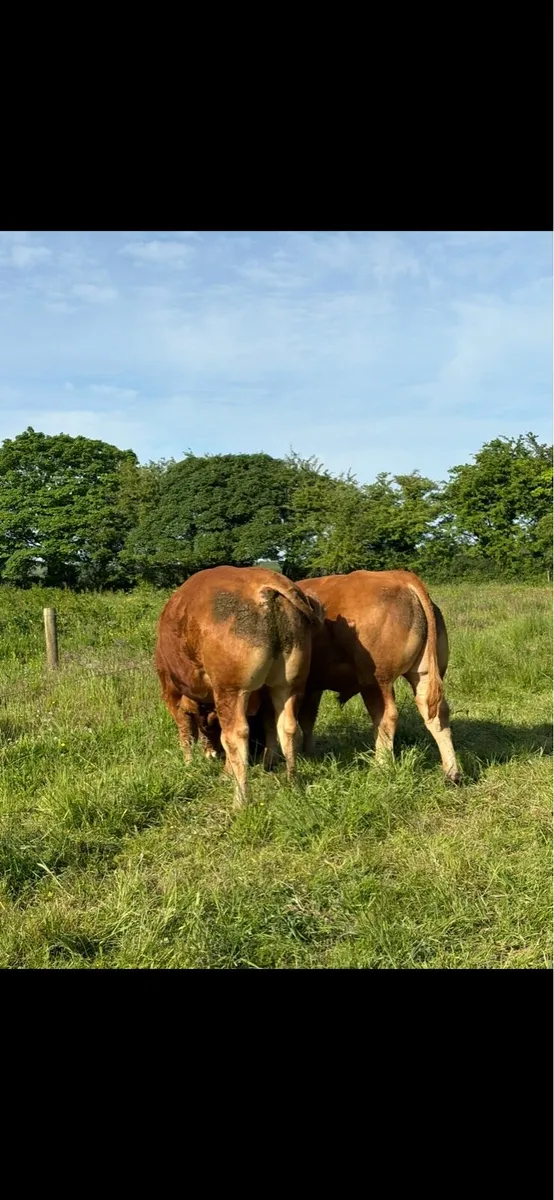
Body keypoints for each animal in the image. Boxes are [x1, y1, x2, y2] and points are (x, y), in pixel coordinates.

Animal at [155, 566, 323, 807]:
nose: (210, 754)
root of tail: (265, 580)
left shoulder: (171, 689)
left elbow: (185, 730)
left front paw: (189, 764)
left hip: (231, 689)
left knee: (235, 735)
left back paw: (240, 800)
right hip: (288, 684)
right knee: (288, 726)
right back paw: (293, 784)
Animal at [295, 569, 462, 784]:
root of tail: (400, 577)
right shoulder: (314, 686)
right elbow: (307, 719)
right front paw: (308, 753)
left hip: (376, 681)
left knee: (386, 716)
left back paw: (380, 767)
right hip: (424, 672)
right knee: (437, 712)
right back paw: (452, 772)